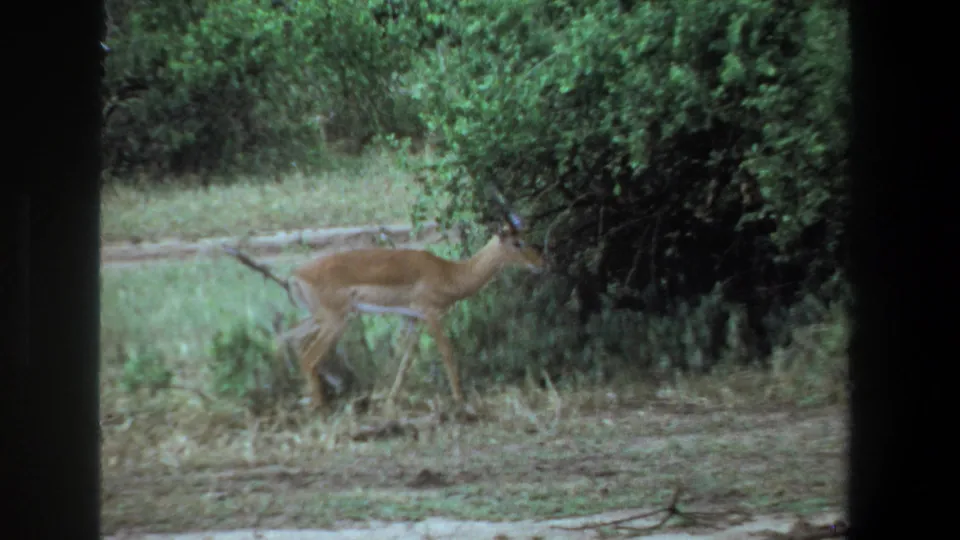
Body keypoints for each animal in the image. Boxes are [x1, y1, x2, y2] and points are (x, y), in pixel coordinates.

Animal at [223, 203, 545, 410]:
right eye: (517, 242)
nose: (542, 263)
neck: (451, 273)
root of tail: (294, 275)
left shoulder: (413, 319)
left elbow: (405, 359)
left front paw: (390, 399)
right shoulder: (432, 314)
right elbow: (447, 353)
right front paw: (460, 400)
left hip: (319, 317)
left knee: (286, 338)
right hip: (335, 320)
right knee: (308, 354)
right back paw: (319, 405)